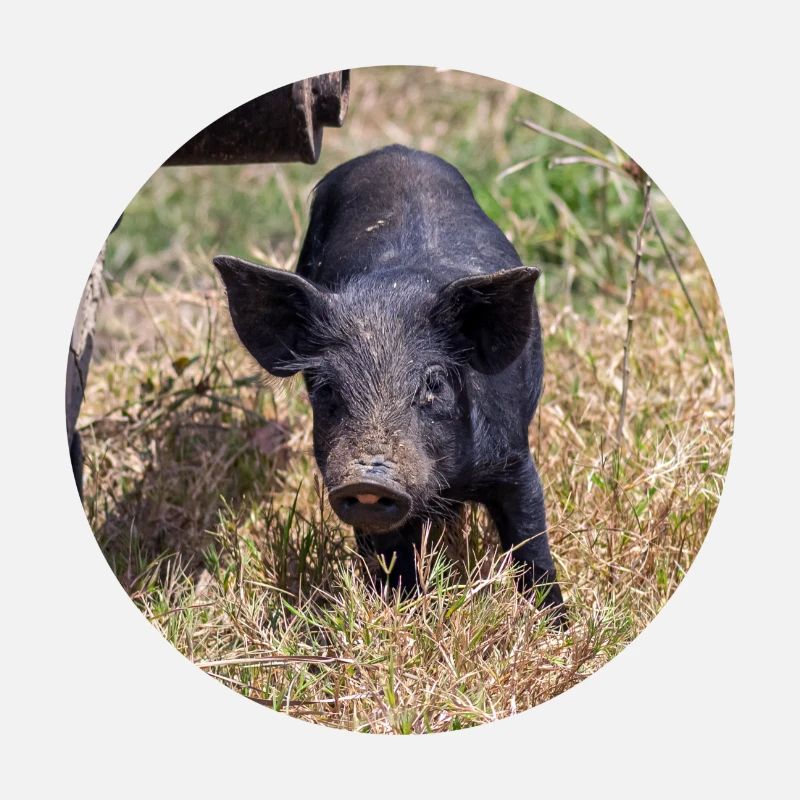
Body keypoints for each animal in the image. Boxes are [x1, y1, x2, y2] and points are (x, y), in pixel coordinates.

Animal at [214, 144, 565, 623]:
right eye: (325, 388)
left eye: (433, 383)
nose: (369, 479)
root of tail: (393, 151)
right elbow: (392, 561)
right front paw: (406, 614)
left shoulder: (513, 457)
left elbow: (532, 545)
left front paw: (558, 626)